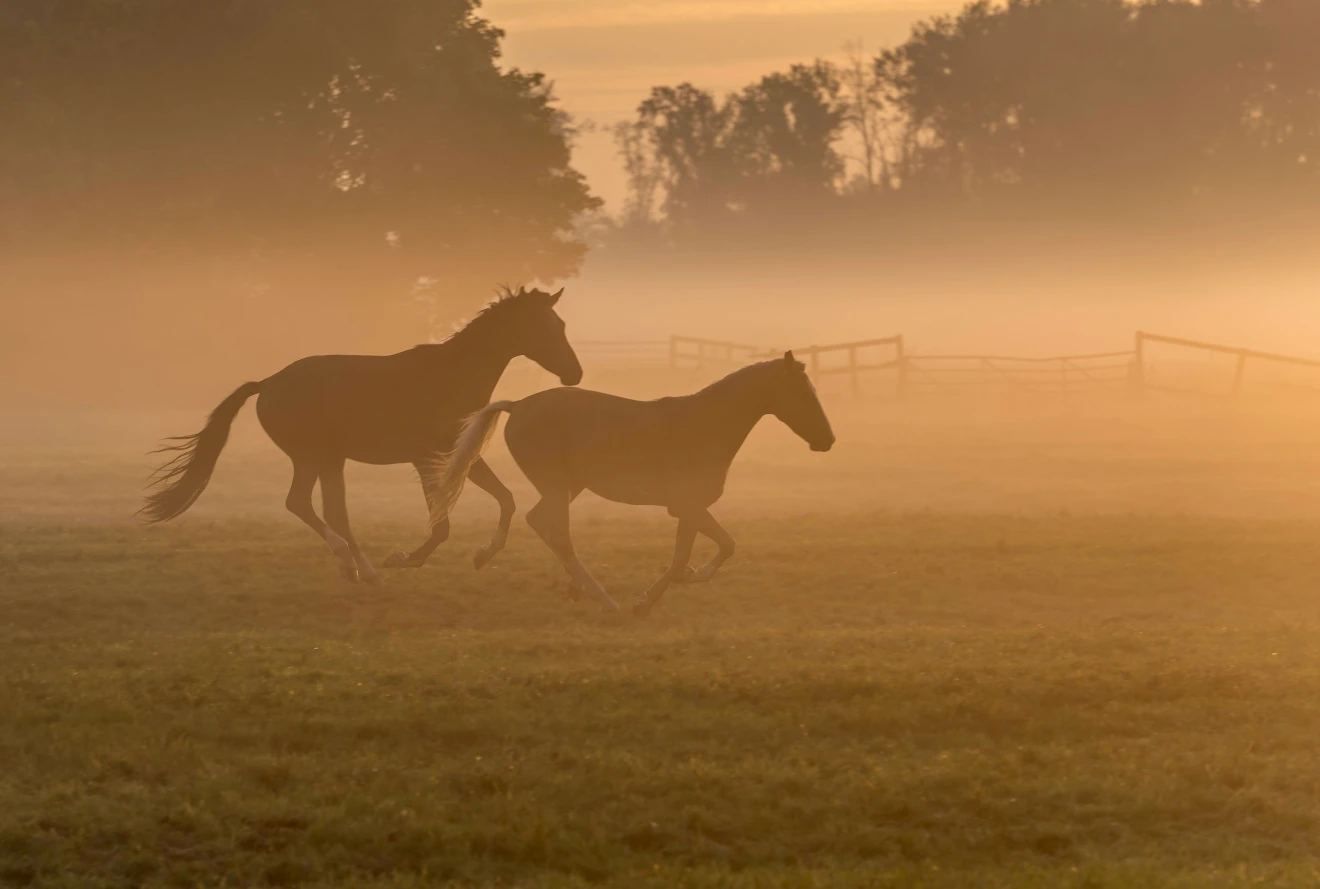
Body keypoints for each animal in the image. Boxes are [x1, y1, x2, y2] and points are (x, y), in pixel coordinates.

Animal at [139, 282, 583, 581]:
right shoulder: (426, 458)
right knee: (302, 503)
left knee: (331, 510)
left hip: (330, 460)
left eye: (561, 323)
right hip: (312, 456)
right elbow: (441, 525)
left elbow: (506, 500)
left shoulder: (461, 456)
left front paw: (483, 555)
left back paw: (359, 568)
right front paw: (407, 558)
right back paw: (358, 566)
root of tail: (267, 384)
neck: (449, 376)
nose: (574, 374)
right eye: (544, 326)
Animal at [425, 351, 834, 612]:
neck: (704, 426)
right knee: (558, 534)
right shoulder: (687, 505)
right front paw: (662, 592)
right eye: (801, 392)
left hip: (568, 487)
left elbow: (684, 554)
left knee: (539, 521)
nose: (827, 440)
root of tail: (518, 405)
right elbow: (725, 545)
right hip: (559, 487)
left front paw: (660, 592)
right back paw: (604, 599)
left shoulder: (689, 510)